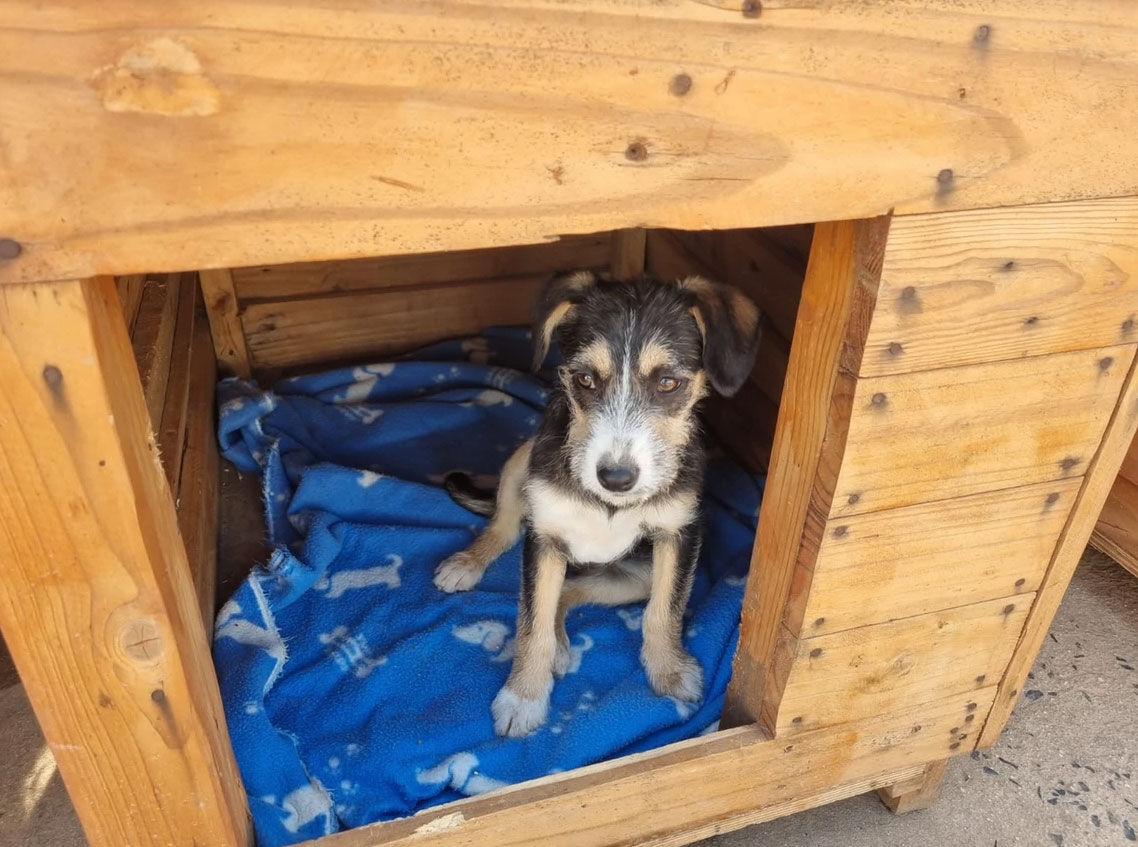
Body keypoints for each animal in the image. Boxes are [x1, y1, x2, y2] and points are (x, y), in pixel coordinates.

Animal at [434, 270, 761, 737]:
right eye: (585, 380)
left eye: (668, 383)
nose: (616, 478)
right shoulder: (544, 538)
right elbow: (531, 620)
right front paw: (523, 698)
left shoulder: (679, 535)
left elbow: (664, 610)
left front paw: (670, 670)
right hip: (522, 460)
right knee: (505, 525)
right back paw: (469, 562)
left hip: (635, 575)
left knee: (569, 592)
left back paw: (561, 644)